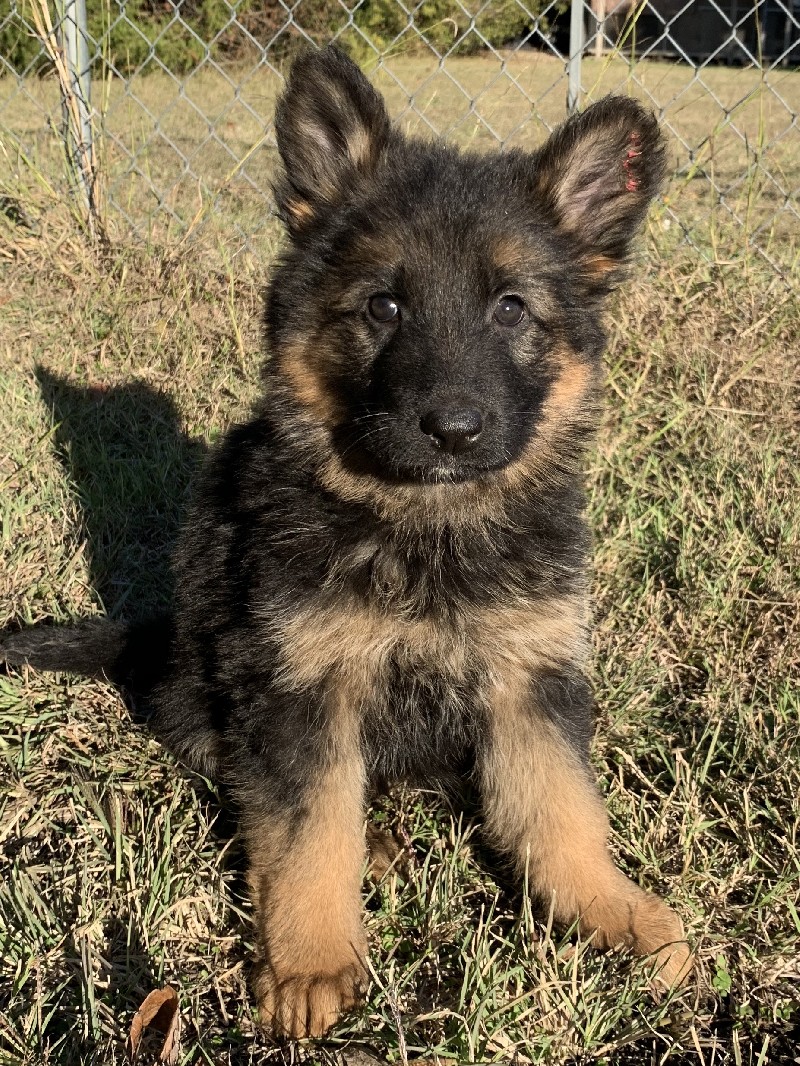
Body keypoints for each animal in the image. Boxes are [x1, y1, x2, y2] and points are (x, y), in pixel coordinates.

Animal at [0, 45, 691, 1036]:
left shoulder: (531, 677)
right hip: (202, 698)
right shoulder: (300, 690)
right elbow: (308, 830)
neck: (423, 527)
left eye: (511, 308)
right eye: (384, 307)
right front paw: (311, 961)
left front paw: (612, 914)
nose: (453, 430)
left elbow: (563, 810)